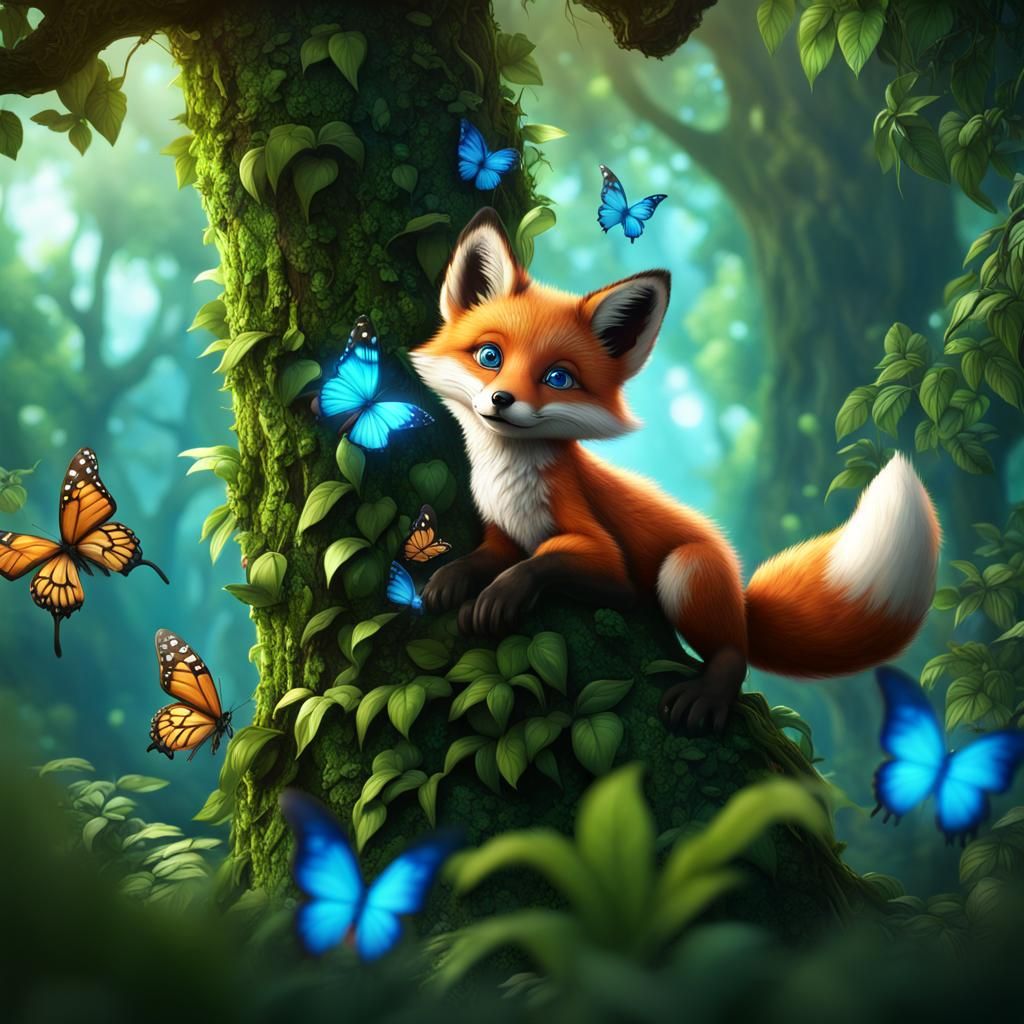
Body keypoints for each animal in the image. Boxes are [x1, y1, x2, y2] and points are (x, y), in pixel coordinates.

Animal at [410, 208, 940, 732]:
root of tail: (740, 600)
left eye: (558, 378)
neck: (510, 483)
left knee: (734, 655)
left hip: (685, 572)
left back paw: (709, 693)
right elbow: (487, 555)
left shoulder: (607, 561)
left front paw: (500, 595)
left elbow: (540, 561)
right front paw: (452, 577)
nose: (502, 400)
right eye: (489, 356)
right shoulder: (502, 529)